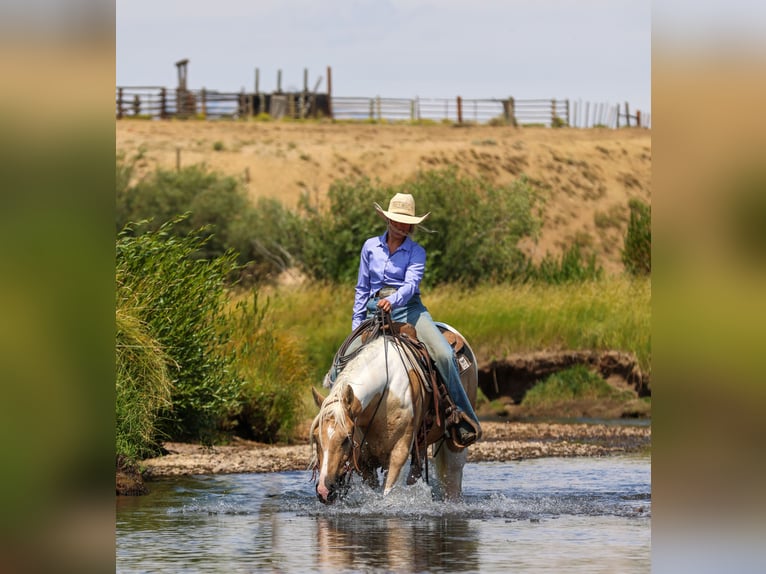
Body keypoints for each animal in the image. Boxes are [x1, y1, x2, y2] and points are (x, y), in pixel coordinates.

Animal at [308, 318, 478, 504]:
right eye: (316, 438)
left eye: (346, 438)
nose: (324, 490)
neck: (386, 390)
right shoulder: (365, 461)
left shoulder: (399, 453)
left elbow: (388, 493)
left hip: (454, 446)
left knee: (453, 479)